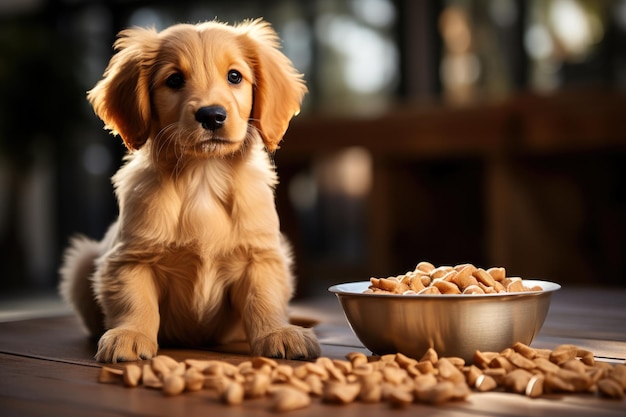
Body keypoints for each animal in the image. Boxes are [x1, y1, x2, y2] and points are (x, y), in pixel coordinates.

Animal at [58, 18, 316, 360]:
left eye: (235, 76)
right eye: (175, 80)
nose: (212, 115)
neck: (202, 177)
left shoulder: (260, 256)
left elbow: (264, 299)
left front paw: (278, 333)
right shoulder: (130, 260)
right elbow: (135, 302)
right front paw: (130, 335)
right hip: (82, 260)